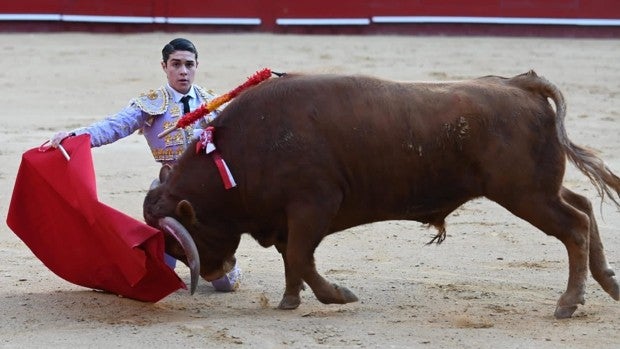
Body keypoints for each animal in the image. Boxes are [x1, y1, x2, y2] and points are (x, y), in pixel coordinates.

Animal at [143, 70, 616, 318]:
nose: (214, 272)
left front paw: (326, 297)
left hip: (525, 194)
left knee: (575, 225)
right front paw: (296, 299)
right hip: (538, 189)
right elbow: (294, 259)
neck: (240, 150)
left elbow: (299, 256)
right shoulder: (287, 218)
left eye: (179, 241)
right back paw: (608, 283)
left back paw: (568, 303)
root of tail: (520, 84)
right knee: (584, 207)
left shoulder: (313, 206)